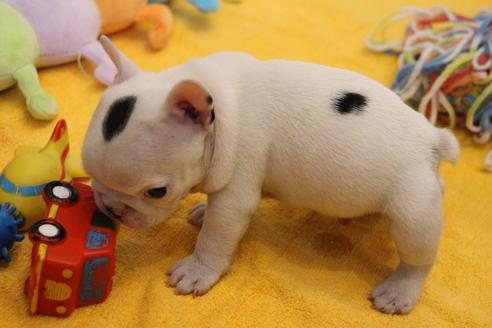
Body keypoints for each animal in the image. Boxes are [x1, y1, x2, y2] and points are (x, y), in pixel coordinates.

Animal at [82, 36, 460, 316]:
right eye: (87, 173)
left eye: (157, 191)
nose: (112, 208)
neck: (221, 111)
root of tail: (432, 139)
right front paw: (202, 211)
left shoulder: (236, 190)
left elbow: (216, 234)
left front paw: (197, 270)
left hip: (413, 211)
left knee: (418, 257)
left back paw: (399, 290)